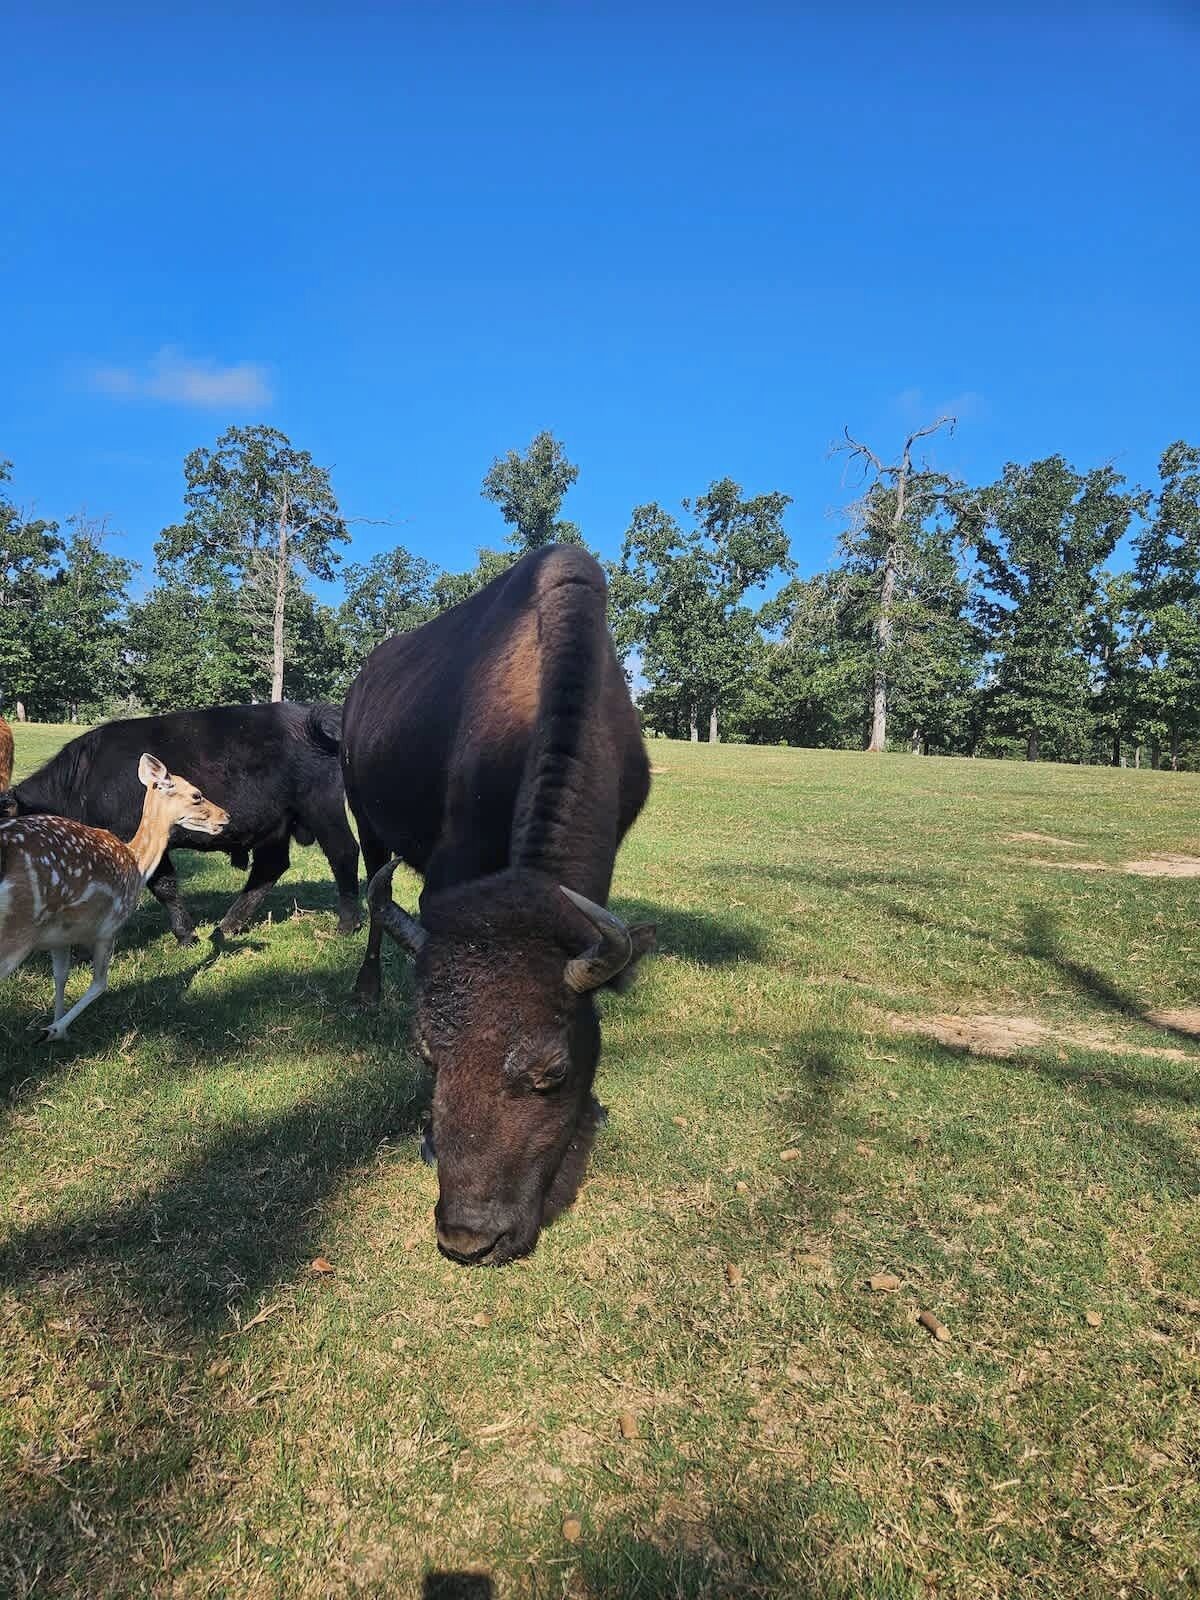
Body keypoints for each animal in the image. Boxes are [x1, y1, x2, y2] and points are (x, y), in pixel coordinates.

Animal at [0, 703, 360, 944]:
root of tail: (310, 715)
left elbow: (164, 886)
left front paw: (186, 935)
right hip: (276, 824)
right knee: (270, 867)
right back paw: (228, 925)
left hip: (321, 807)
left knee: (343, 852)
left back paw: (347, 924)